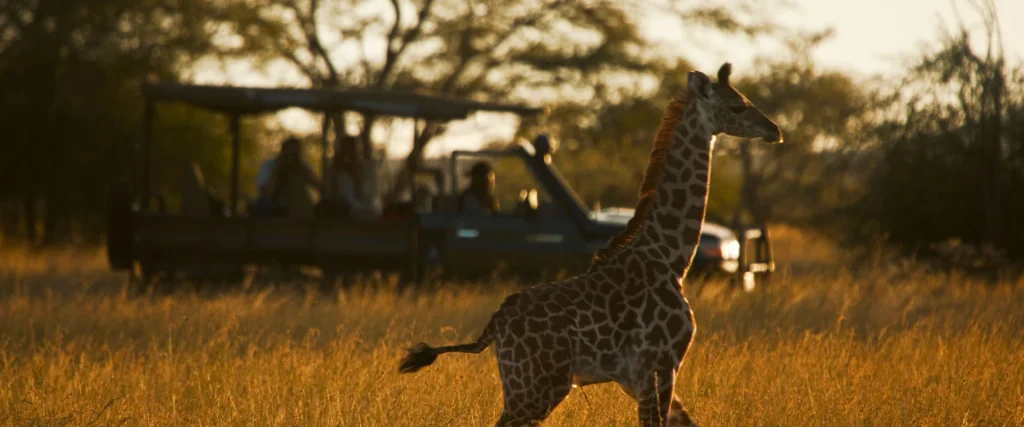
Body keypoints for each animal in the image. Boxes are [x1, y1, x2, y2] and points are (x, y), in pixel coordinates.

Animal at [395, 63, 778, 425]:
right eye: (738, 105)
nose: (774, 129)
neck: (671, 257)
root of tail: (494, 327)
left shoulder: (638, 377)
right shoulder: (660, 364)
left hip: (526, 386)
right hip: (537, 388)